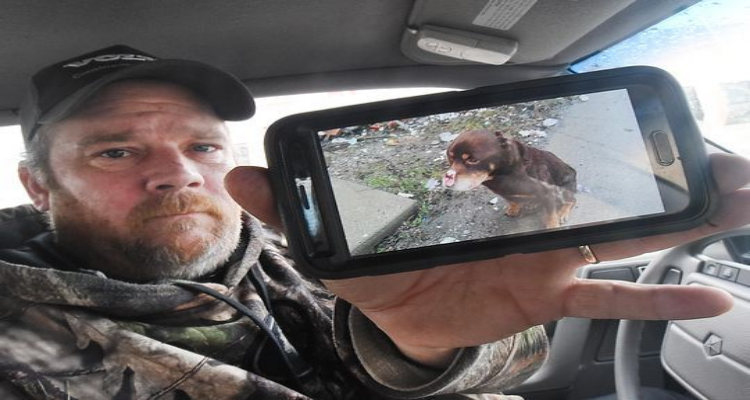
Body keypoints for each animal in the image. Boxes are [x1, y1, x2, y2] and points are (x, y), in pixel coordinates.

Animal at [444, 129, 580, 227]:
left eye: (473, 160)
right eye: (451, 158)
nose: (448, 177)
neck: (503, 176)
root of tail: (573, 172)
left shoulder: (548, 193)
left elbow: (551, 216)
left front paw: (552, 225)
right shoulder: (505, 193)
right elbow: (512, 200)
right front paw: (514, 208)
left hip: (564, 189)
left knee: (572, 200)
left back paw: (562, 213)